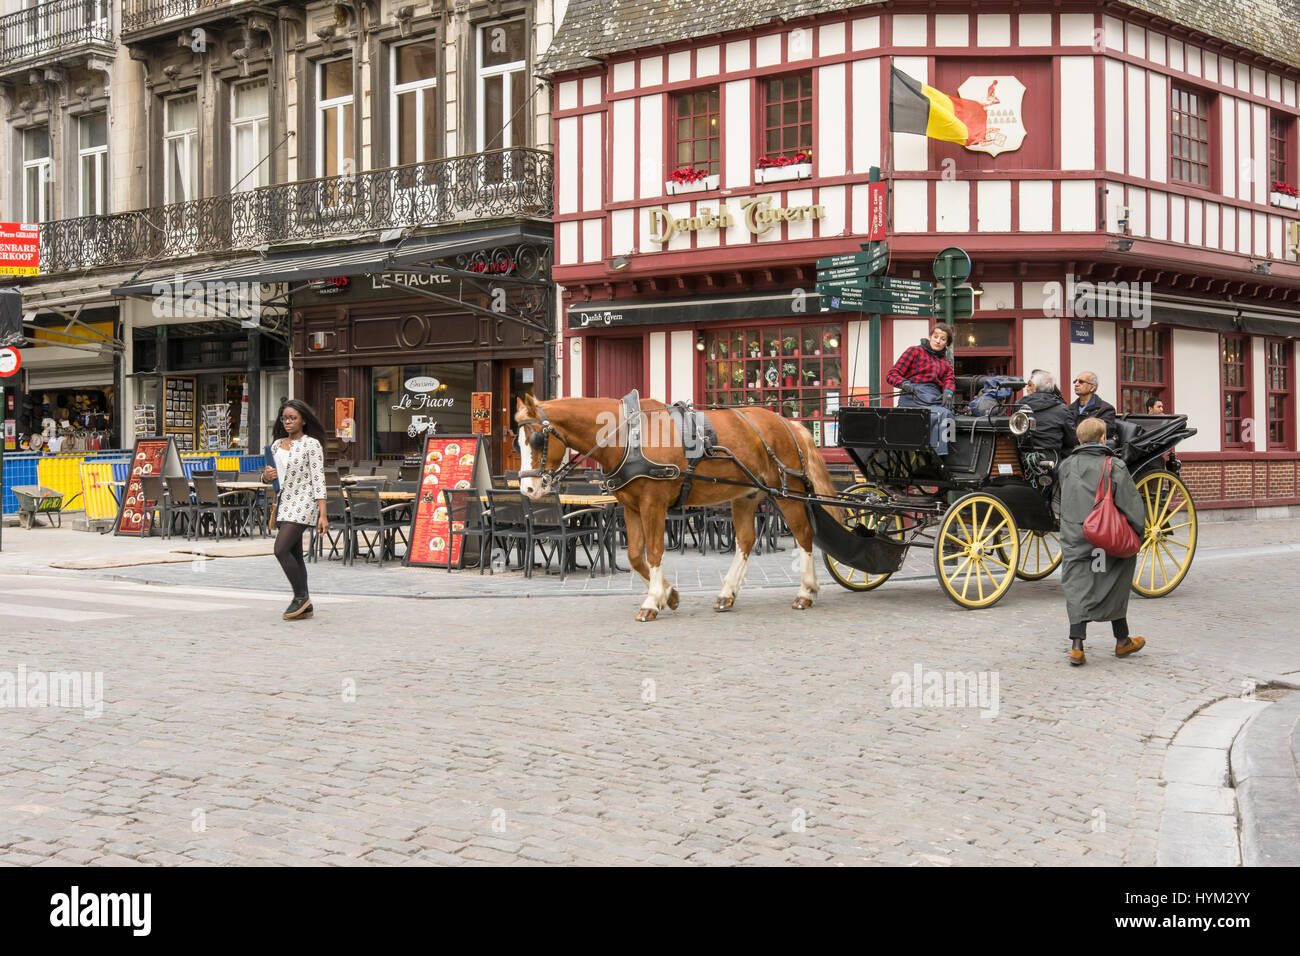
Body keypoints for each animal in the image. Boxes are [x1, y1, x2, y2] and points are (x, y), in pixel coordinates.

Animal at [512, 395, 837, 624]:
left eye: (537, 440)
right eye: (517, 443)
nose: (527, 490)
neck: (627, 436)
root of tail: (788, 423)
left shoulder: (653, 504)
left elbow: (655, 552)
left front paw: (651, 602)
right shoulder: (630, 507)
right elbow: (635, 556)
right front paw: (670, 595)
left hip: (788, 493)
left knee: (804, 535)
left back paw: (806, 592)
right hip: (745, 495)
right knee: (745, 542)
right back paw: (727, 594)